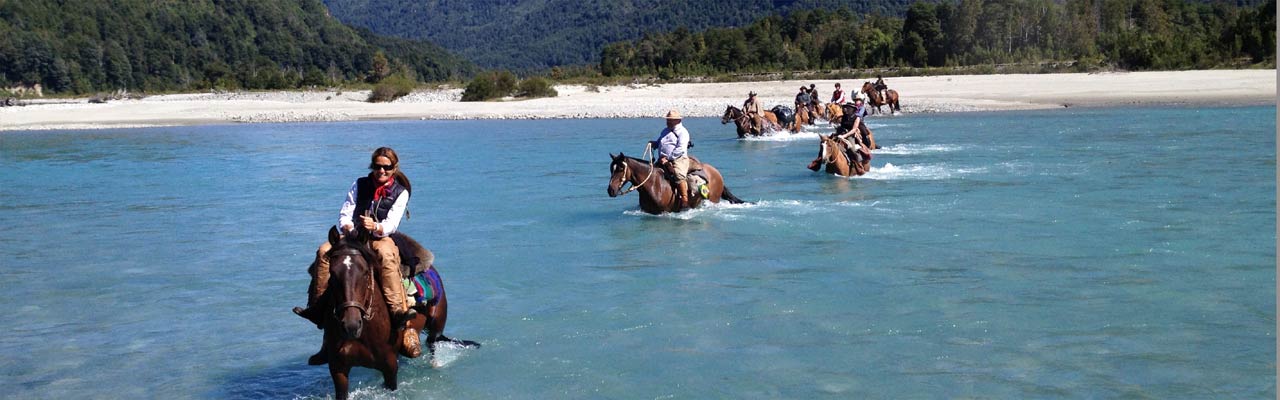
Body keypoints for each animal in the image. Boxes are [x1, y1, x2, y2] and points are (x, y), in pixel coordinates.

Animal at [607, 153, 746, 214]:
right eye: (611, 168)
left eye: (620, 168)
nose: (610, 190)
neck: (654, 184)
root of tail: (716, 172)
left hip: (714, 199)